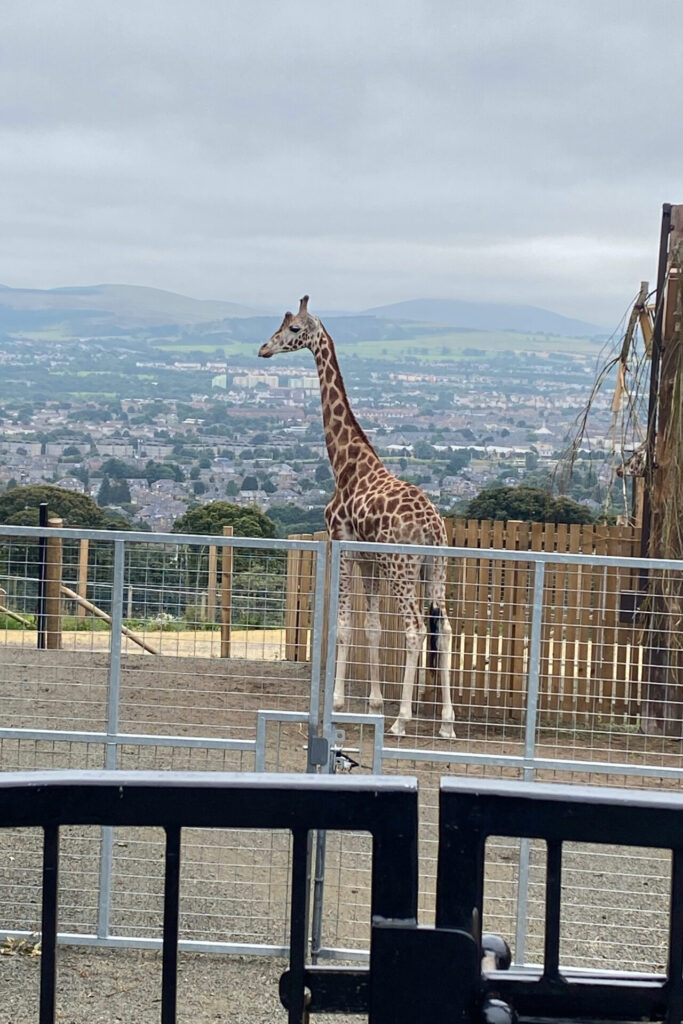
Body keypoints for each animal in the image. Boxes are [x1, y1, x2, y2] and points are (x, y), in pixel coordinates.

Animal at [259, 296, 456, 739]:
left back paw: (403, 721)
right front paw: (375, 701)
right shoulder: (370, 559)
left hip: (403, 567)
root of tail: (433, 527)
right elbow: (372, 627)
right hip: (434, 569)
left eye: (294, 328)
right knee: (445, 629)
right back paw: (446, 723)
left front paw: (338, 701)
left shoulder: (342, 543)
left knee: (415, 629)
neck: (347, 465)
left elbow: (346, 625)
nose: (263, 349)